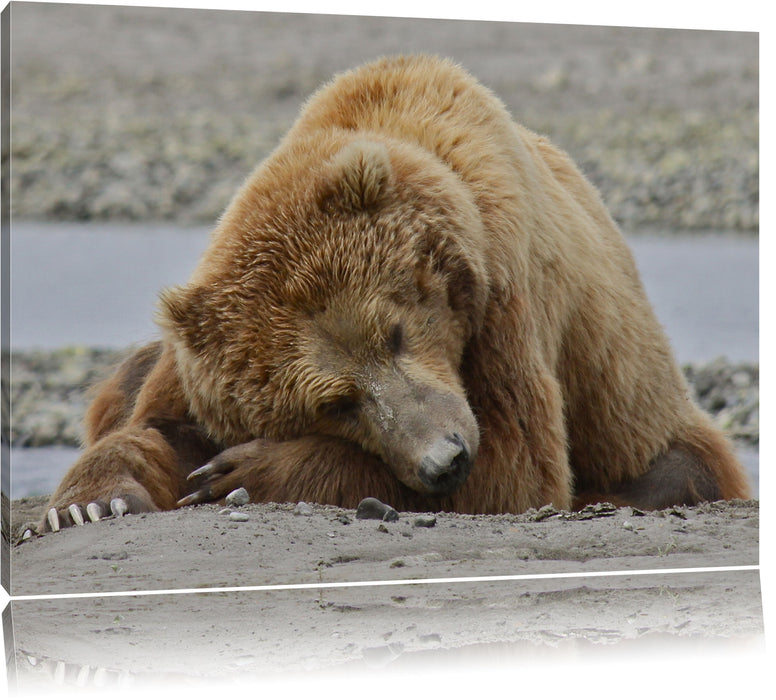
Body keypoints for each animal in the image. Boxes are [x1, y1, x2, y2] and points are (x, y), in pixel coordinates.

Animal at [38, 56, 752, 536]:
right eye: (336, 402)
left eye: (396, 332)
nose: (445, 459)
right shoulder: (200, 349)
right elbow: (157, 425)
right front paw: (92, 500)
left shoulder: (504, 295)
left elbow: (517, 468)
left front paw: (241, 474)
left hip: (641, 411)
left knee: (675, 469)